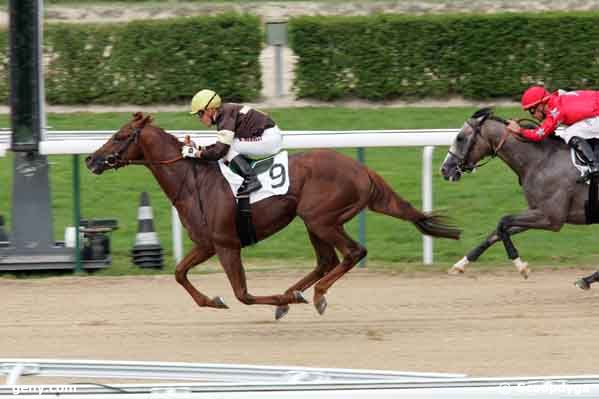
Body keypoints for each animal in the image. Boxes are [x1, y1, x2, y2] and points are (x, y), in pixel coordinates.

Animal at [85, 112, 460, 318]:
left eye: (119, 136)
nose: (91, 159)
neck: (193, 181)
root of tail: (361, 170)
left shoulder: (226, 244)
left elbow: (243, 294)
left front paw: (280, 298)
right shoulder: (207, 243)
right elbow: (179, 273)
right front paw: (212, 300)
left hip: (321, 218)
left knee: (353, 252)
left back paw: (315, 295)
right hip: (313, 222)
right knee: (326, 260)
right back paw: (300, 293)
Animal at [440, 108, 596, 286]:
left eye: (460, 138)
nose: (444, 169)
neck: (540, 162)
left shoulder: (552, 218)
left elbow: (503, 222)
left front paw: (521, 266)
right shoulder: (537, 211)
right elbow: (497, 232)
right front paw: (460, 264)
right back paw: (587, 279)